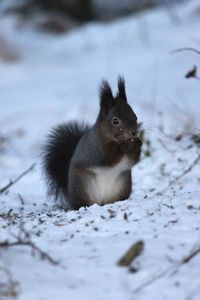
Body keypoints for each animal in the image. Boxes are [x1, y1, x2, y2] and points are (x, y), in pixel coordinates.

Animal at [41, 76, 142, 210]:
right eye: (115, 121)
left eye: (135, 116)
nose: (134, 133)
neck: (111, 139)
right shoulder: (96, 149)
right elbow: (108, 157)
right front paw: (126, 144)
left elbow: (133, 160)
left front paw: (137, 143)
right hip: (82, 185)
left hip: (122, 185)